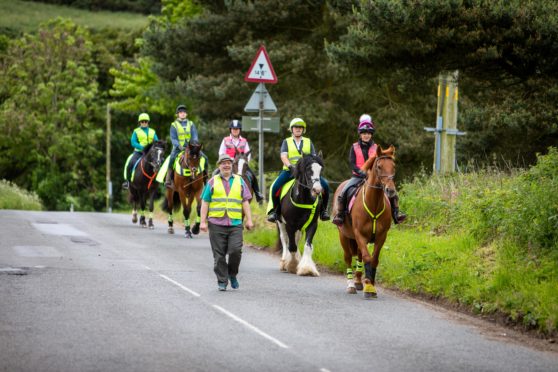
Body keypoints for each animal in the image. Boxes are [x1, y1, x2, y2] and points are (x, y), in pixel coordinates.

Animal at [332, 144, 398, 298]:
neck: (373, 204)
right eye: (379, 166)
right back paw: (351, 285)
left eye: (393, 166)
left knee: (359, 256)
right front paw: (369, 287)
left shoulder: (381, 236)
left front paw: (371, 284)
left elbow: (374, 259)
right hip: (344, 236)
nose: (390, 191)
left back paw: (358, 281)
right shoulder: (359, 235)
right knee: (348, 258)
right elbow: (368, 258)